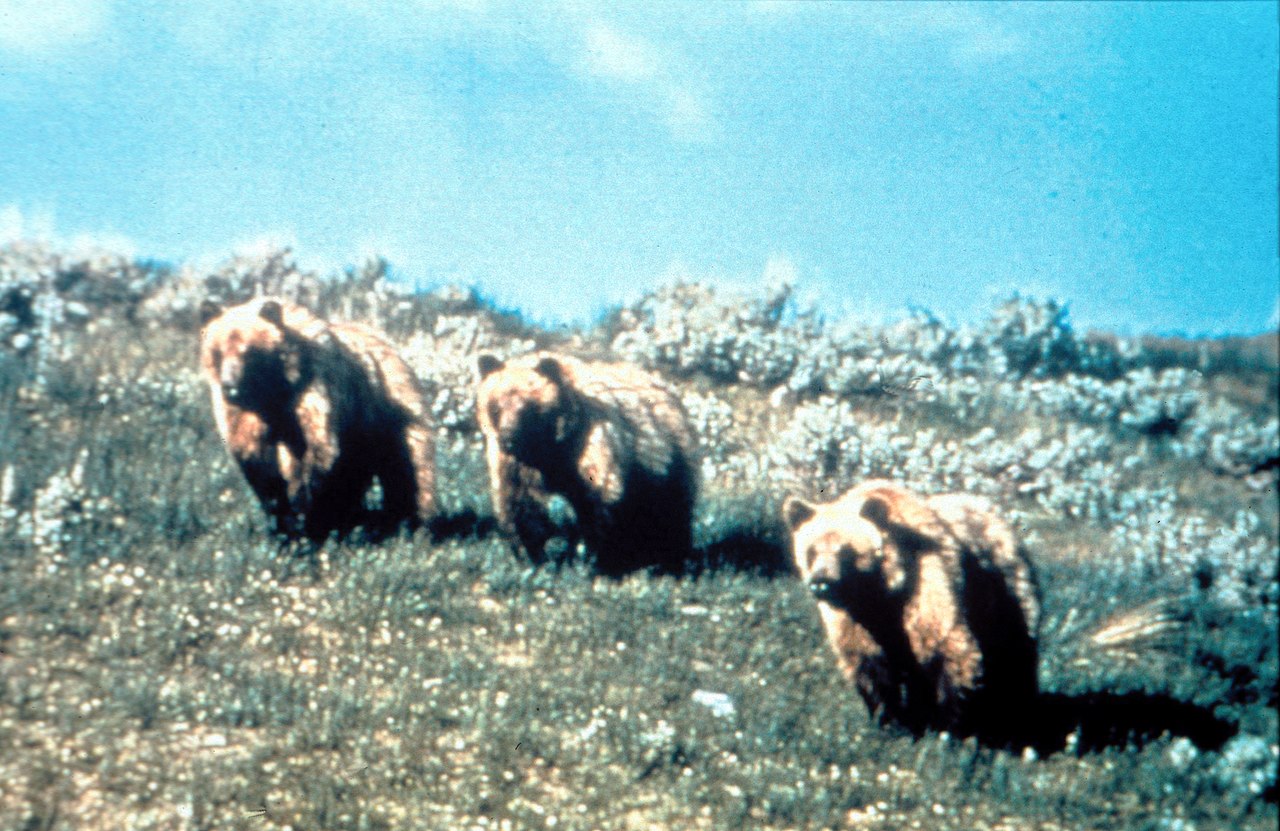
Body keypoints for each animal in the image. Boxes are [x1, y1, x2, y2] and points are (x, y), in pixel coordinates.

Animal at [198, 294, 435, 540]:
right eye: (218, 352)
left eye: (248, 352)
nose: (231, 388)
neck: (275, 392)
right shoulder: (248, 420)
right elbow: (260, 467)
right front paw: (284, 527)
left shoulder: (312, 394)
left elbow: (318, 453)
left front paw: (306, 513)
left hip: (389, 414)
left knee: (409, 470)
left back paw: (410, 524)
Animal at [478, 350, 701, 576]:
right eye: (496, 407)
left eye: (526, 408)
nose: (508, 438)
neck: (551, 449)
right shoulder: (519, 467)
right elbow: (522, 507)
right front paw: (535, 557)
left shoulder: (589, 446)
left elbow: (598, 501)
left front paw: (594, 559)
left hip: (665, 461)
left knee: (671, 513)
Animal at [778, 478, 1039, 737]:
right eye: (811, 551)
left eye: (846, 551)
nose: (821, 583)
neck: (881, 593)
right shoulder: (854, 619)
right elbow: (868, 663)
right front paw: (889, 721)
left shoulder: (925, 589)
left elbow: (951, 651)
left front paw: (947, 727)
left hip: (1004, 590)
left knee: (1016, 651)